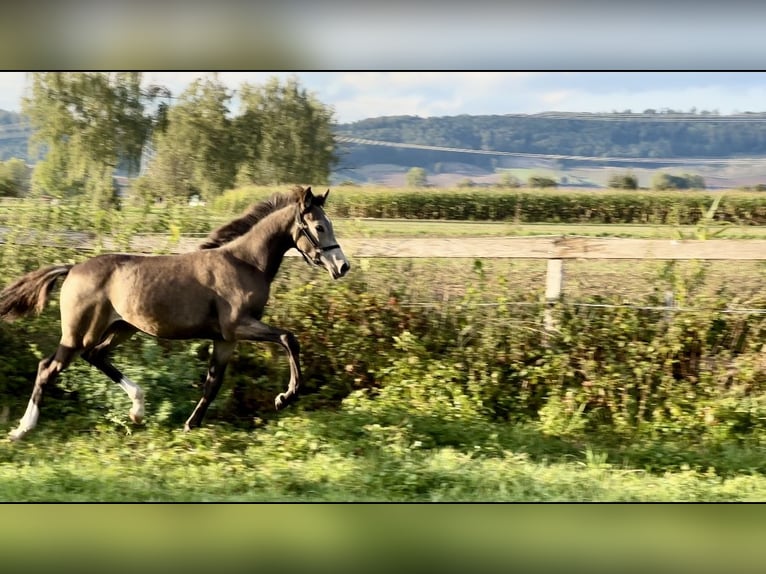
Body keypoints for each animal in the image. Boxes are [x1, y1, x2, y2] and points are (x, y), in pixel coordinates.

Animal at [0, 184, 352, 440]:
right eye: (319, 226)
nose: (342, 266)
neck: (244, 263)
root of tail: (72, 268)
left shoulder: (225, 339)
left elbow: (213, 382)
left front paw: (190, 425)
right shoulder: (239, 326)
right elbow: (288, 338)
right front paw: (285, 397)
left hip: (121, 328)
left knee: (95, 356)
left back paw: (138, 409)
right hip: (78, 333)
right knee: (48, 367)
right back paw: (23, 429)